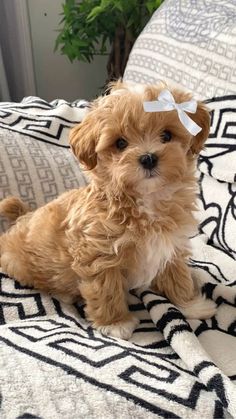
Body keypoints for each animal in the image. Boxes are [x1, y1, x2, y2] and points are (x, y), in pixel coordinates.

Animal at [0, 80, 216, 340]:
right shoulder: (98, 254)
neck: (145, 202)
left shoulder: (170, 245)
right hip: (18, 263)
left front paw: (191, 305)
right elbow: (106, 289)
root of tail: (23, 216)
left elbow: (177, 276)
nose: (148, 158)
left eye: (167, 135)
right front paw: (116, 323)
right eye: (120, 143)